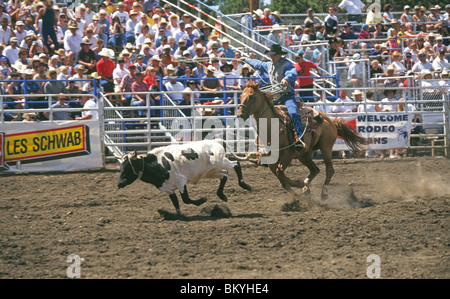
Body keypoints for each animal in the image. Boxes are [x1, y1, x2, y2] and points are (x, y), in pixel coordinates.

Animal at [237, 82, 368, 202]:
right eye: (241, 96)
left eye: (251, 96)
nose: (239, 114)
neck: (273, 126)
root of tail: (330, 120)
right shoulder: (271, 159)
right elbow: (281, 178)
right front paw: (299, 191)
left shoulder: (288, 155)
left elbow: (280, 172)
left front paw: (299, 184)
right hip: (304, 155)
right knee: (315, 170)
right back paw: (306, 188)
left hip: (326, 147)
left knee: (329, 170)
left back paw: (323, 192)